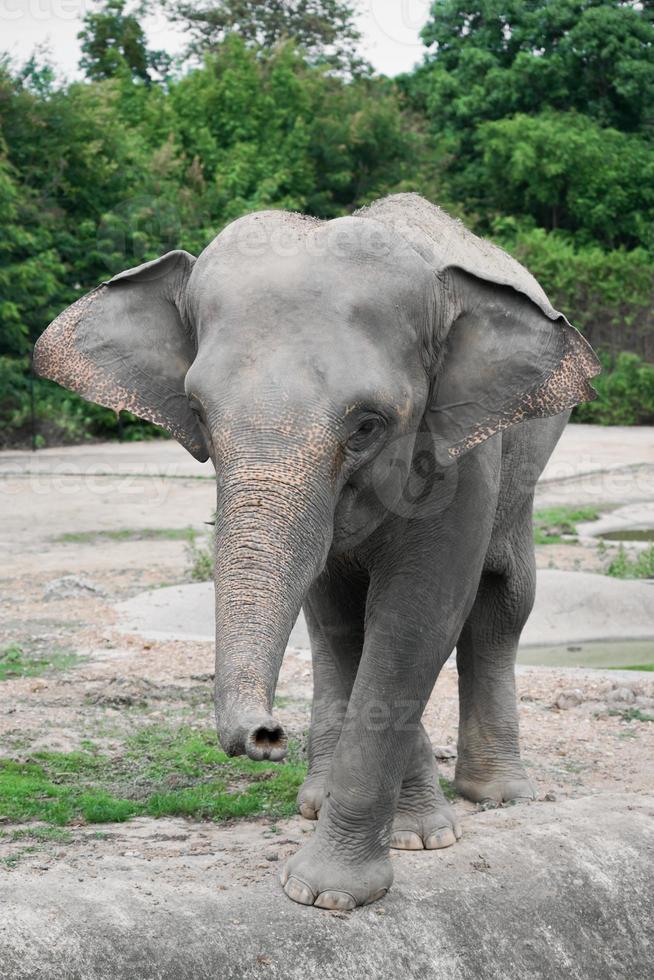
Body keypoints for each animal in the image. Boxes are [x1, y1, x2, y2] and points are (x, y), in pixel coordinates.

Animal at [34, 191, 600, 912]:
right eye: (198, 412)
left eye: (367, 426)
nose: (265, 735)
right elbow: (354, 619)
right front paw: (406, 837)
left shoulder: (465, 455)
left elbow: (417, 617)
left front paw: (331, 890)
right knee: (331, 621)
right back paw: (319, 798)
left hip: (524, 463)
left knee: (504, 600)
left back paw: (497, 795)